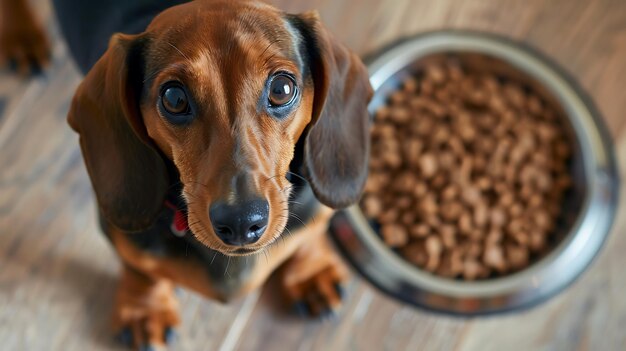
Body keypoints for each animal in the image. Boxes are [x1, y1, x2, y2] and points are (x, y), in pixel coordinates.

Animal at [56, 0, 370, 350]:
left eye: (282, 88)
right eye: (174, 98)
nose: (242, 223)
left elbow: (308, 235)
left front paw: (311, 272)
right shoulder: (125, 235)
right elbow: (141, 269)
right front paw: (144, 310)